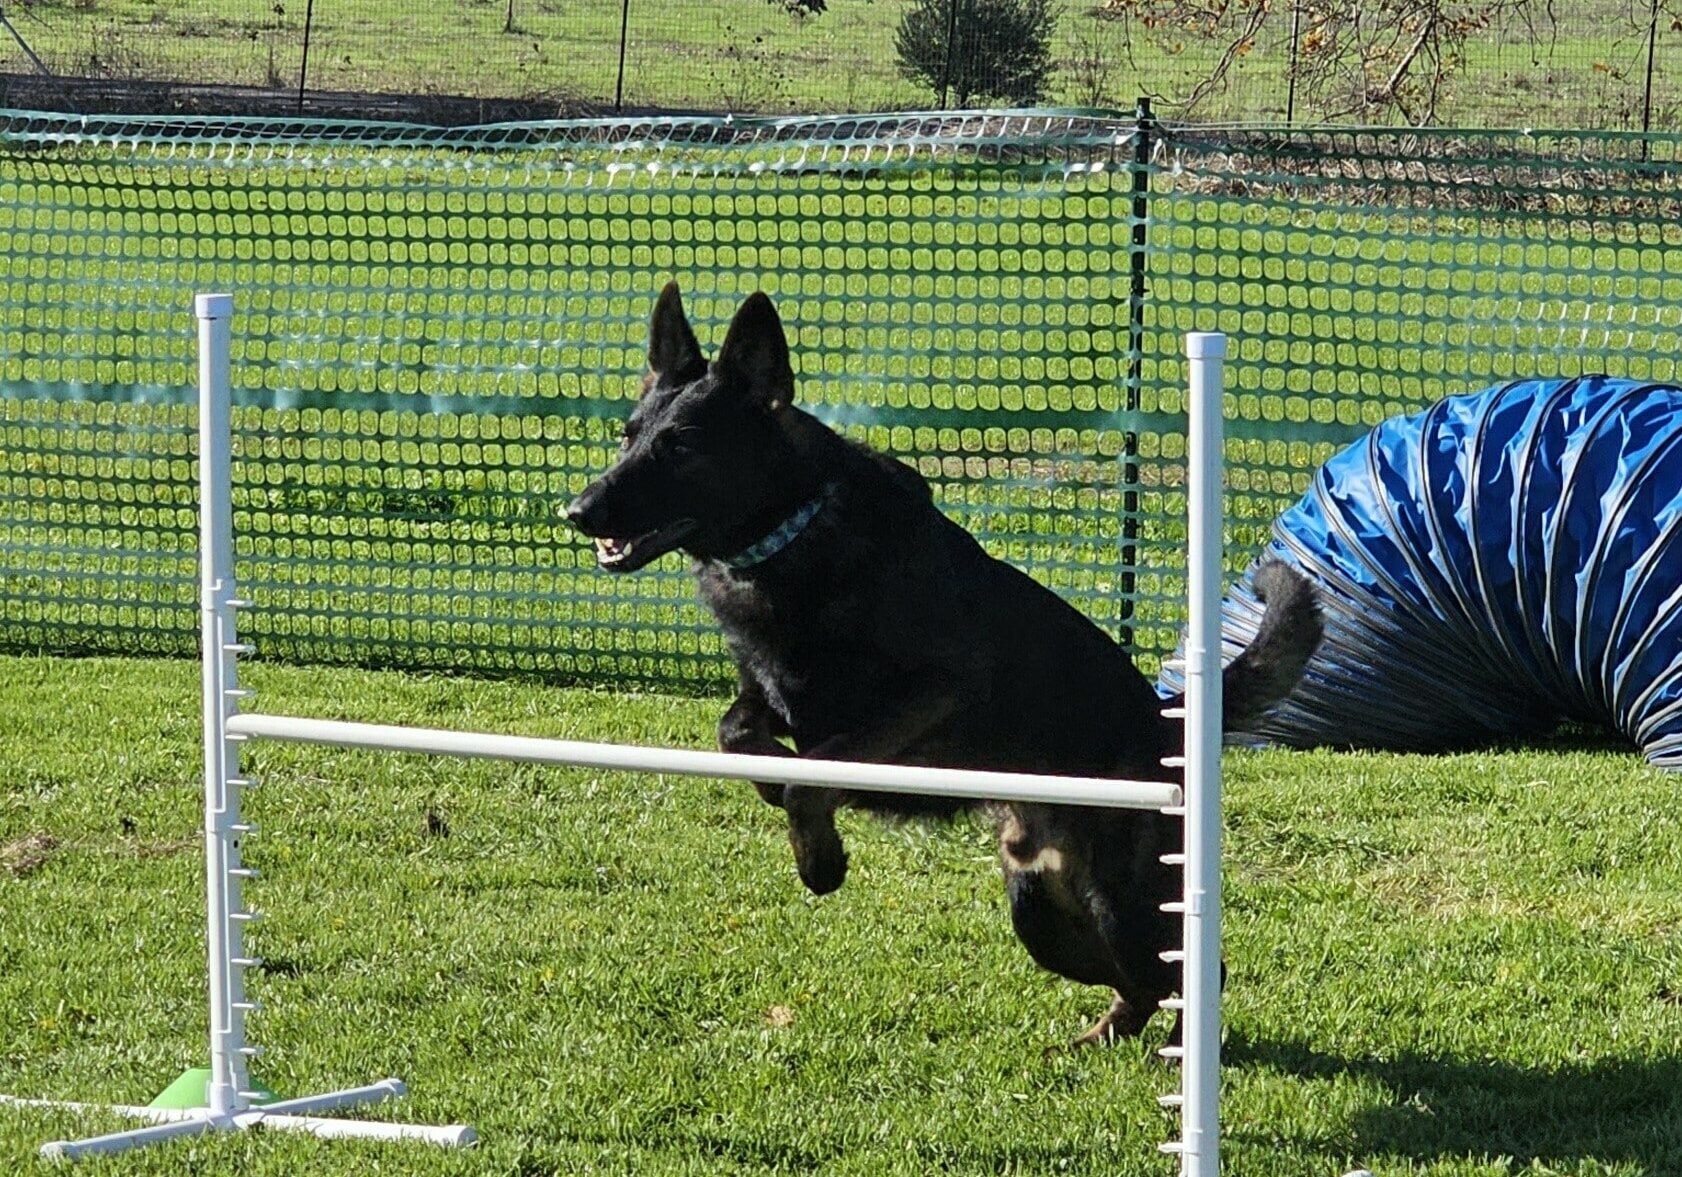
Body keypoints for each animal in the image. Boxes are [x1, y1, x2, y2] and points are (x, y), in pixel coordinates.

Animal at [571, 287, 1318, 1049]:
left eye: (681, 445)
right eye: (628, 436)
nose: (577, 511)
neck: (795, 532)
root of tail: (1167, 718)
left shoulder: (931, 693)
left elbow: (815, 775)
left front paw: (820, 856)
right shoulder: (766, 694)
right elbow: (738, 735)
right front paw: (772, 781)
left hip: (1124, 902)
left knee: (1192, 971)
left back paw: (1175, 1050)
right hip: (1040, 912)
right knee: (1135, 980)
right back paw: (1103, 1036)